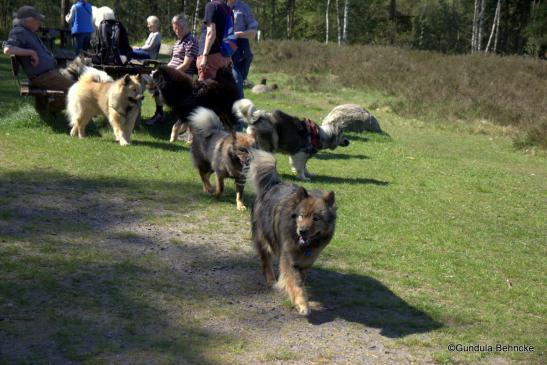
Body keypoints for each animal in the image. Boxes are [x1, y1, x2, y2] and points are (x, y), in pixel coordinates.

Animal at [249, 149, 338, 314]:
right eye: (301, 215)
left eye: (316, 218)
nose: (302, 231)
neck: (305, 246)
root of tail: (274, 184)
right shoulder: (289, 260)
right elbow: (295, 283)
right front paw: (302, 304)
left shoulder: (305, 263)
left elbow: (300, 280)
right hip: (263, 236)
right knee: (265, 260)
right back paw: (271, 280)